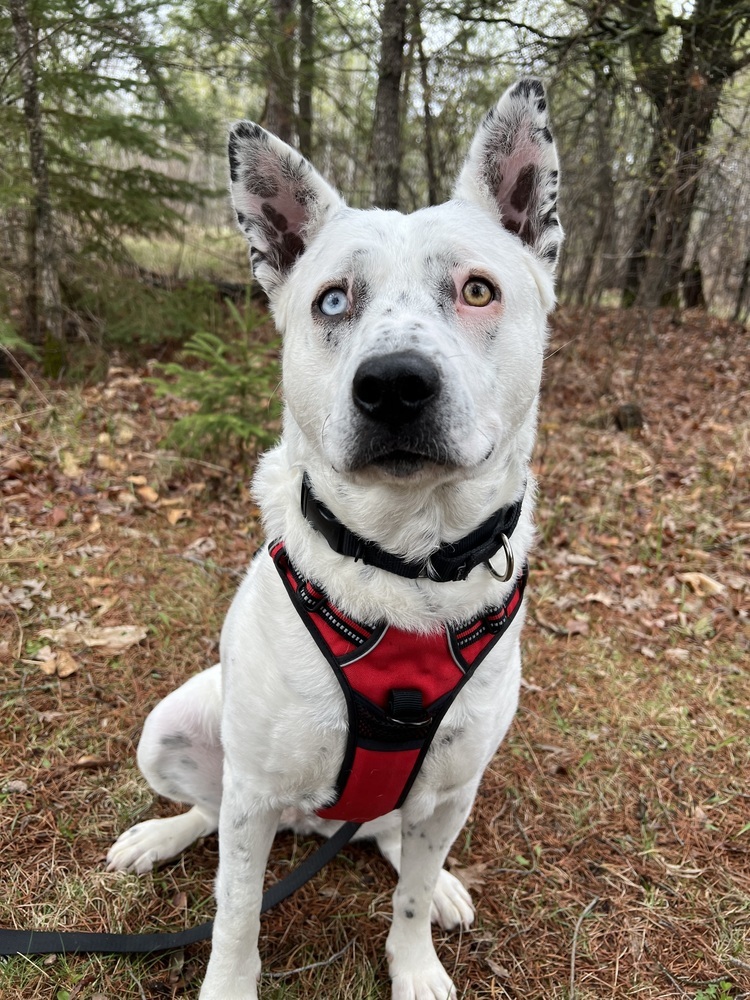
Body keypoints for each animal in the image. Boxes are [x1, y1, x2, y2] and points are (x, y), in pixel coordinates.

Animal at [106, 78, 564, 1000]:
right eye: (332, 300)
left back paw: (436, 877)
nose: (394, 386)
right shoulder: (250, 799)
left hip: (424, 797)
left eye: (479, 291)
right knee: (208, 813)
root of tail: (313, 825)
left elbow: (409, 898)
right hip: (176, 729)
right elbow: (235, 915)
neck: (404, 560)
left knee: (391, 835)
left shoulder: (454, 788)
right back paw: (159, 837)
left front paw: (415, 963)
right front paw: (228, 985)